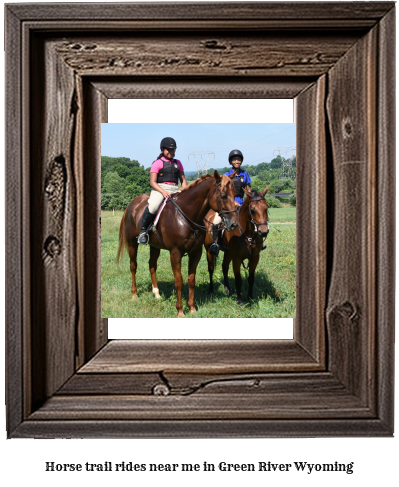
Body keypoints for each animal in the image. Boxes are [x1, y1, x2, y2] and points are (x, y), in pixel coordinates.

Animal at [117, 171, 239, 316]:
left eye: (235, 194)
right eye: (223, 196)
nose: (233, 224)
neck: (186, 216)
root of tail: (132, 204)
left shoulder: (196, 252)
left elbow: (191, 280)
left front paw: (192, 308)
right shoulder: (175, 253)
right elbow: (179, 281)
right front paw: (180, 310)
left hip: (154, 246)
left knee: (152, 266)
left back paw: (156, 294)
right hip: (132, 244)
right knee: (133, 266)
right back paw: (134, 294)